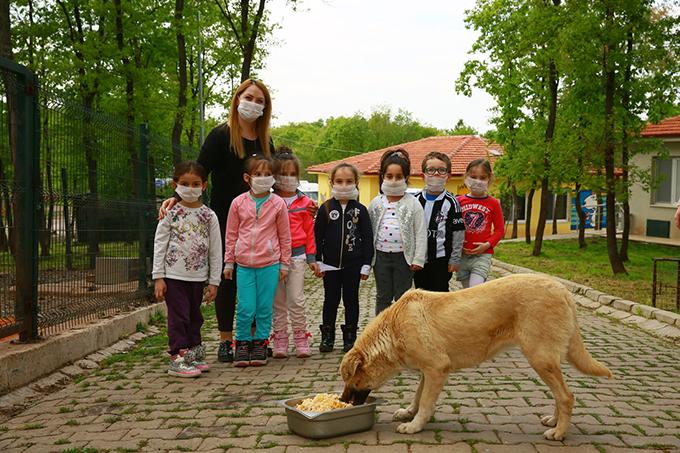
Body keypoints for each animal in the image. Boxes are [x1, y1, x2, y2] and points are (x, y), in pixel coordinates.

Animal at [340, 272, 612, 438]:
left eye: (350, 379)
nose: (342, 401)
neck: (394, 327)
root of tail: (562, 290)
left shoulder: (436, 369)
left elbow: (426, 403)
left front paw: (415, 425)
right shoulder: (429, 371)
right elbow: (418, 396)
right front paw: (409, 412)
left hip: (540, 359)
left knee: (566, 396)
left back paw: (559, 432)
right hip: (546, 362)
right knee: (561, 395)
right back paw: (554, 422)